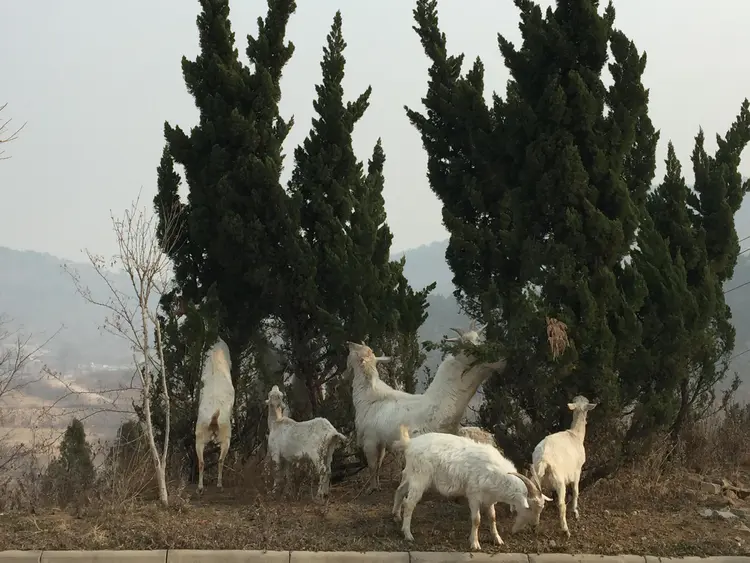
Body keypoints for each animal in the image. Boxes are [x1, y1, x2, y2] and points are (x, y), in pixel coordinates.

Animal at [194, 338, 235, 496]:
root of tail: (213, 420)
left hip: (199, 438)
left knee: (201, 462)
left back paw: (200, 487)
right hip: (226, 439)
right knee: (220, 461)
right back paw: (219, 484)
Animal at [390, 428, 548, 552]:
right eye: (529, 507)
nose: (535, 526)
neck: (497, 473)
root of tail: (410, 443)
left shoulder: (489, 498)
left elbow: (492, 517)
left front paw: (497, 539)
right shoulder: (474, 495)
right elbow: (476, 519)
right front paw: (474, 543)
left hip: (411, 474)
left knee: (399, 490)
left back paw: (396, 515)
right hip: (420, 477)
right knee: (409, 503)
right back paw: (408, 534)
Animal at [536, 394, 600, 540]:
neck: (576, 434)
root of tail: (543, 459)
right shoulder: (577, 470)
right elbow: (576, 491)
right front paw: (575, 512)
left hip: (535, 477)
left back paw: (535, 523)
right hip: (559, 479)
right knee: (561, 504)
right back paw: (565, 530)